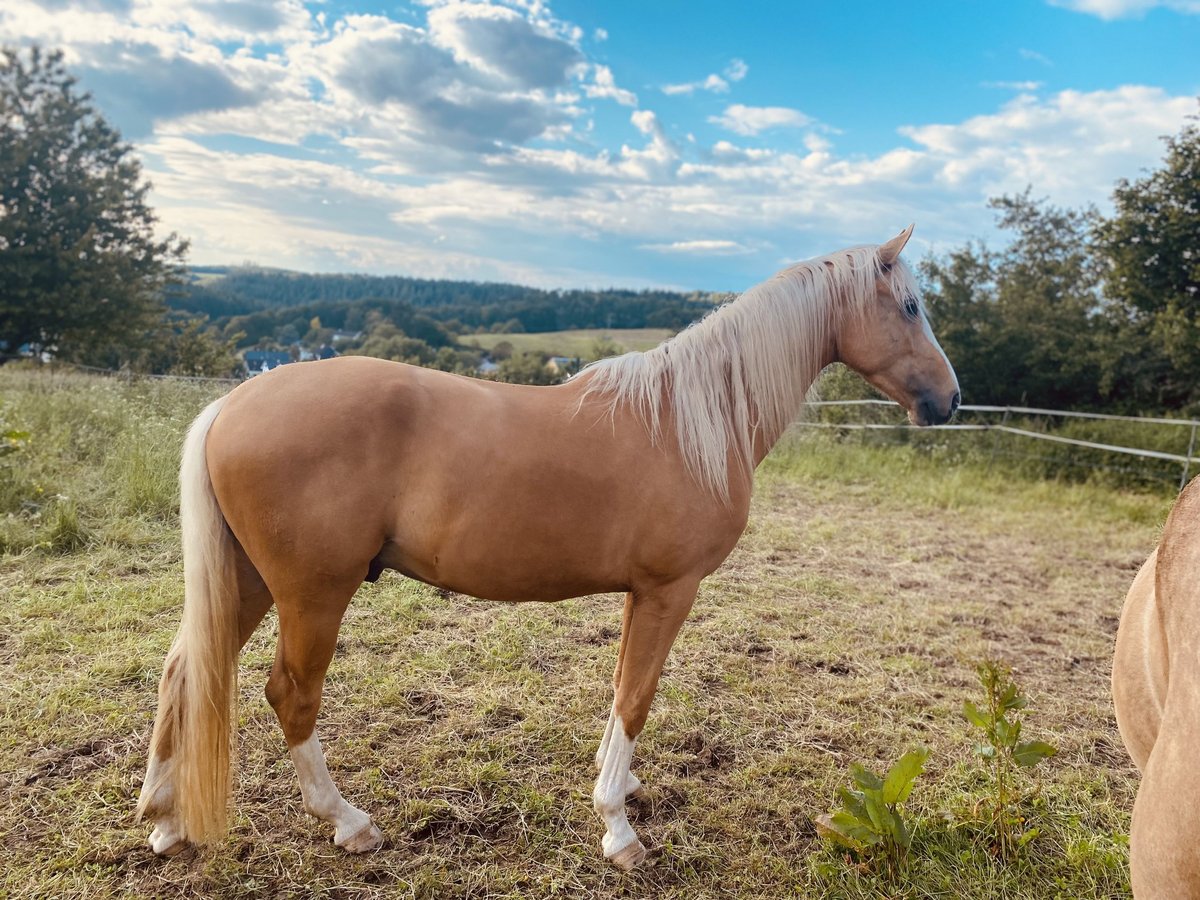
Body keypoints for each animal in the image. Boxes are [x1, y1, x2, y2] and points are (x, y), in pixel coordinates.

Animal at [133, 224, 955, 868]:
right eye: (911, 306)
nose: (948, 400)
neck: (688, 420)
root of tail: (233, 402)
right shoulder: (670, 589)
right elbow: (636, 697)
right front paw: (619, 830)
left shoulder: (641, 595)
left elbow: (622, 687)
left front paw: (620, 788)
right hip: (312, 592)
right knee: (289, 694)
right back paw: (348, 823)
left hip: (248, 581)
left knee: (185, 671)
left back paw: (165, 823)